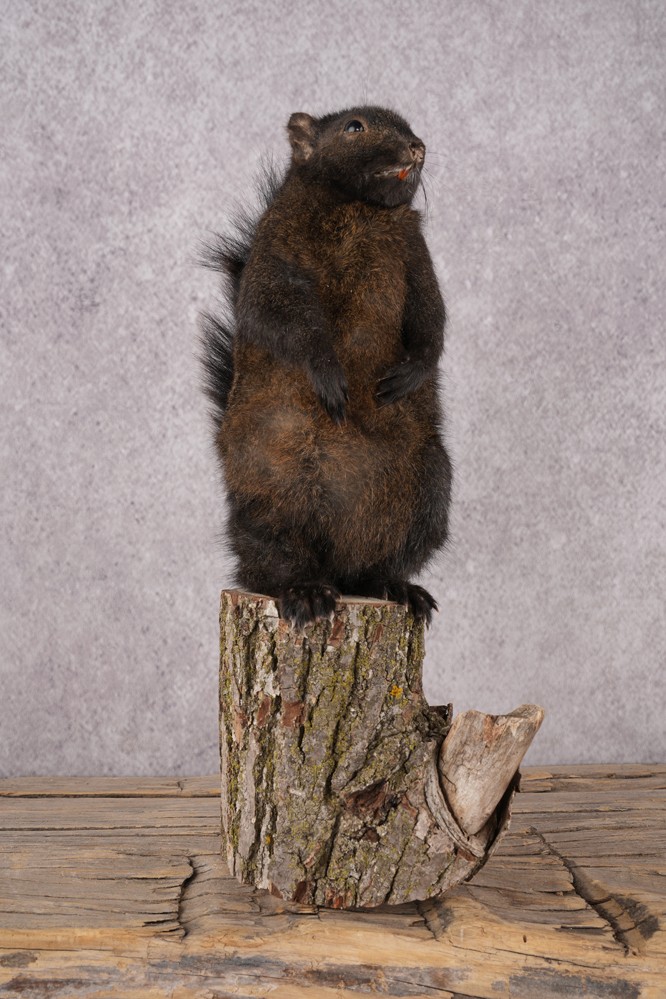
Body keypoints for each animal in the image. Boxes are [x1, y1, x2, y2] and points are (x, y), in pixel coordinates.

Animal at [200, 106, 451, 629]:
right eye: (354, 127)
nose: (417, 146)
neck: (359, 208)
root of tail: (337, 562)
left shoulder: (415, 254)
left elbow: (431, 318)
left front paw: (412, 373)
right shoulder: (275, 251)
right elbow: (274, 314)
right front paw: (329, 374)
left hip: (429, 492)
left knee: (377, 566)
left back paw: (396, 587)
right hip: (272, 492)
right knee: (273, 561)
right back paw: (305, 591)